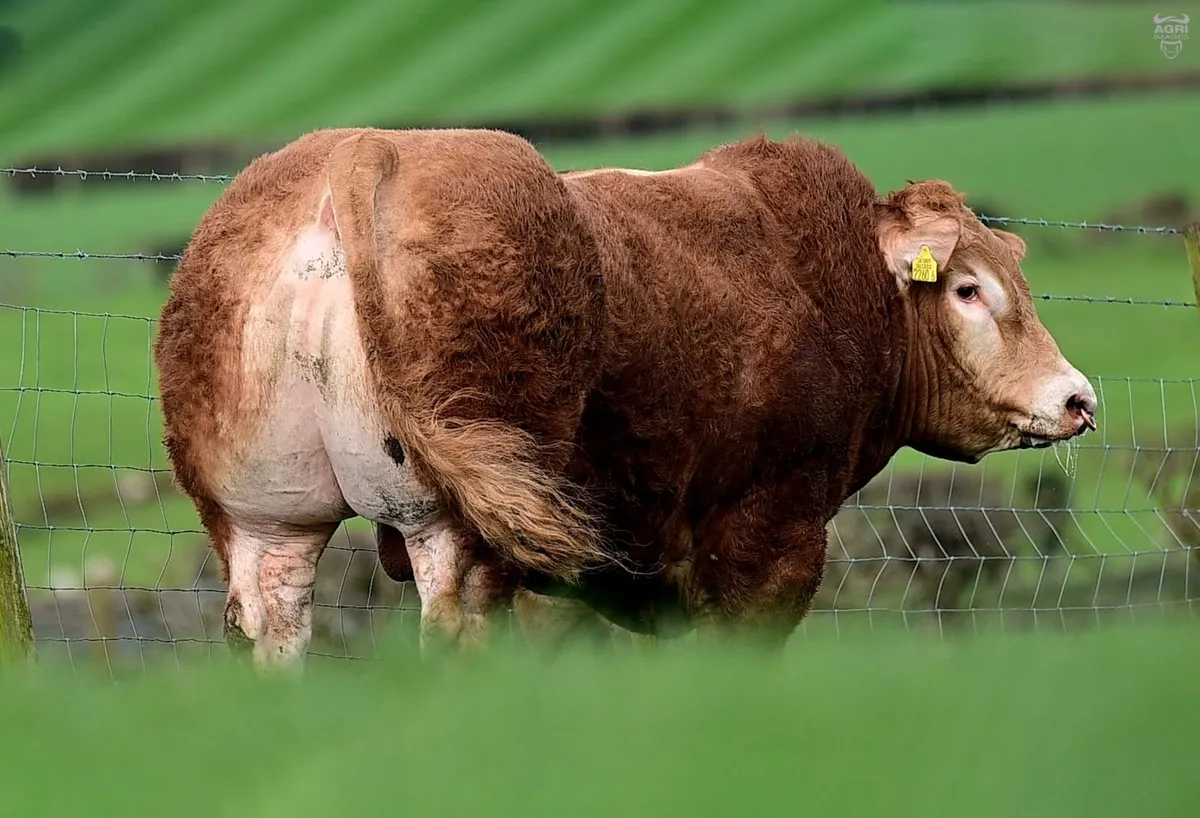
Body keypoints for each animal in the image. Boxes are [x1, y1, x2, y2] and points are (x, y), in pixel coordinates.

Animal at [153, 127, 1097, 668]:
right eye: (969, 289)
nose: (1077, 398)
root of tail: (360, 151)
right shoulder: (769, 541)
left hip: (267, 519)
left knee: (272, 626)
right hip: (460, 516)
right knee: (455, 624)